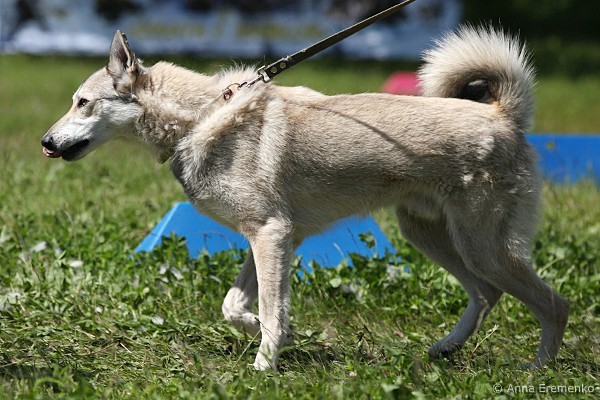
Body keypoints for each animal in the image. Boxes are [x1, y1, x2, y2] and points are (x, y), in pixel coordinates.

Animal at [41, 26, 568, 371]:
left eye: (82, 103)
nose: (46, 142)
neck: (200, 117)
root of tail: (504, 116)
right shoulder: (271, 239)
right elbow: (238, 307)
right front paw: (264, 330)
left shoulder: (271, 235)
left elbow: (271, 313)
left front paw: (262, 368)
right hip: (430, 236)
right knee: (486, 294)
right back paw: (445, 350)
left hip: (481, 247)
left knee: (552, 304)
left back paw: (537, 372)